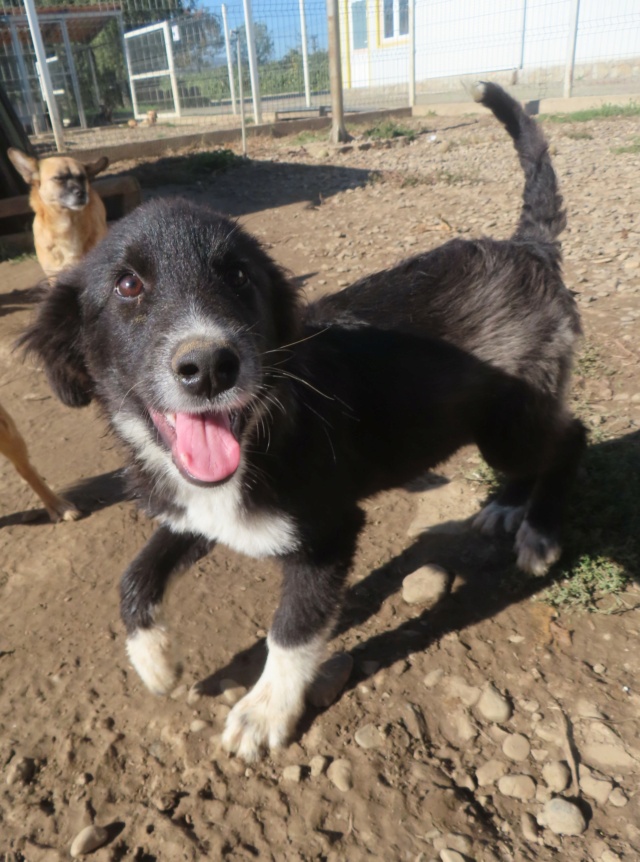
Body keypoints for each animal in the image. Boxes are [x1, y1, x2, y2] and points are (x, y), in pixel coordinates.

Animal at [21, 86, 584, 764]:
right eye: (127, 285)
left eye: (240, 276)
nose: (210, 366)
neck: (259, 431)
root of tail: (528, 248)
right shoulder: (202, 511)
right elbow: (135, 573)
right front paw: (156, 662)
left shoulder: (329, 531)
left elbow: (290, 630)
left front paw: (265, 710)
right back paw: (507, 507)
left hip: (508, 427)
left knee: (571, 438)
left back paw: (540, 532)